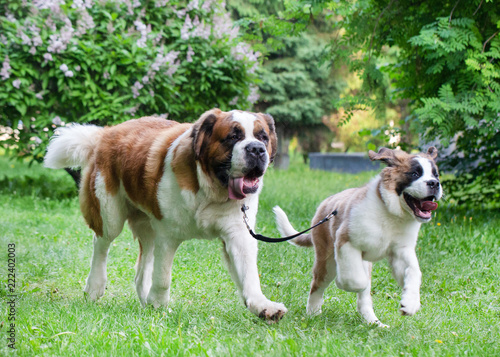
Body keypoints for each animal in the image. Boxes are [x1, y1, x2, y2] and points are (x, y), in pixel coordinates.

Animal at [45, 108, 288, 320]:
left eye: (263, 137)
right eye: (233, 137)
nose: (256, 149)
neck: (209, 190)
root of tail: (107, 131)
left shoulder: (239, 233)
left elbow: (249, 274)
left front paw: (262, 305)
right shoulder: (168, 235)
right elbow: (163, 276)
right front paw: (159, 305)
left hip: (148, 226)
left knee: (142, 268)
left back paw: (144, 298)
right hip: (109, 213)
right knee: (101, 245)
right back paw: (95, 287)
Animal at [274, 147, 442, 326]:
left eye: (436, 175)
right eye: (415, 174)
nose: (434, 183)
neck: (390, 213)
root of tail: (323, 208)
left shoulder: (400, 251)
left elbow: (414, 271)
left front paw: (410, 303)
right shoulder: (346, 242)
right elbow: (358, 281)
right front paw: (343, 283)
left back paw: (373, 322)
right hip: (327, 262)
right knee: (318, 285)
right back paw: (313, 312)